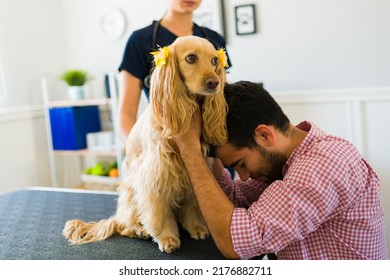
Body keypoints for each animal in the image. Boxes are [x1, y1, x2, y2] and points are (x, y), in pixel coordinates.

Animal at [62, 36, 227, 253]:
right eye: (191, 58)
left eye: (215, 60)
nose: (214, 82)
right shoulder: (154, 176)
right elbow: (158, 212)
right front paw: (167, 238)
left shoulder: (191, 172)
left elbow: (192, 205)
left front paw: (197, 227)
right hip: (129, 194)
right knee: (123, 225)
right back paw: (139, 230)